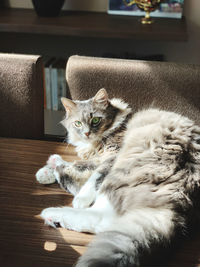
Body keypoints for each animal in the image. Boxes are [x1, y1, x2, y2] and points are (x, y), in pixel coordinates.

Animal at [35, 89, 200, 266]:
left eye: (95, 120)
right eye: (78, 123)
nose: (87, 133)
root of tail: (179, 204)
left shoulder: (111, 156)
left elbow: (91, 176)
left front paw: (79, 196)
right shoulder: (96, 158)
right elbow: (78, 165)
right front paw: (46, 170)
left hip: (118, 177)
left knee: (97, 217)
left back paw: (51, 212)